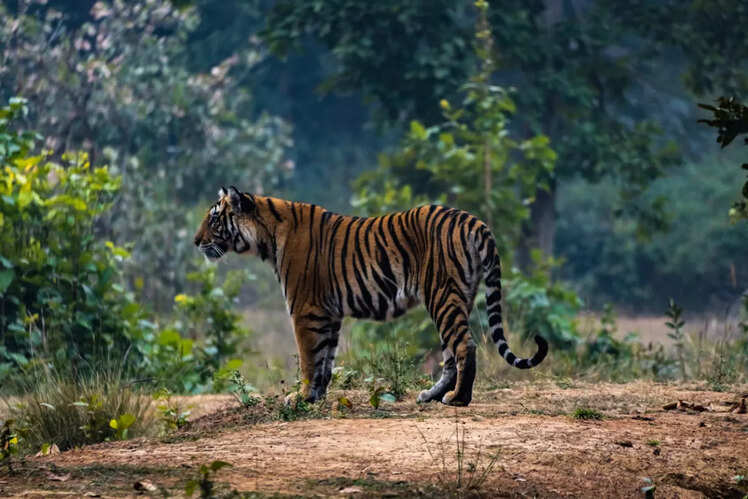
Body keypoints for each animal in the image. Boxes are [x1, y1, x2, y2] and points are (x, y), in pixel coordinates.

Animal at [193, 186, 548, 406]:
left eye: (214, 218)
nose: (196, 242)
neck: (266, 237)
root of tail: (475, 221)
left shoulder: (305, 309)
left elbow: (309, 358)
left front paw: (301, 397)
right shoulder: (328, 313)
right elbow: (325, 358)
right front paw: (316, 397)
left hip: (442, 295)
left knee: (464, 346)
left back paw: (458, 399)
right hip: (457, 296)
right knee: (450, 354)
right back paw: (431, 396)